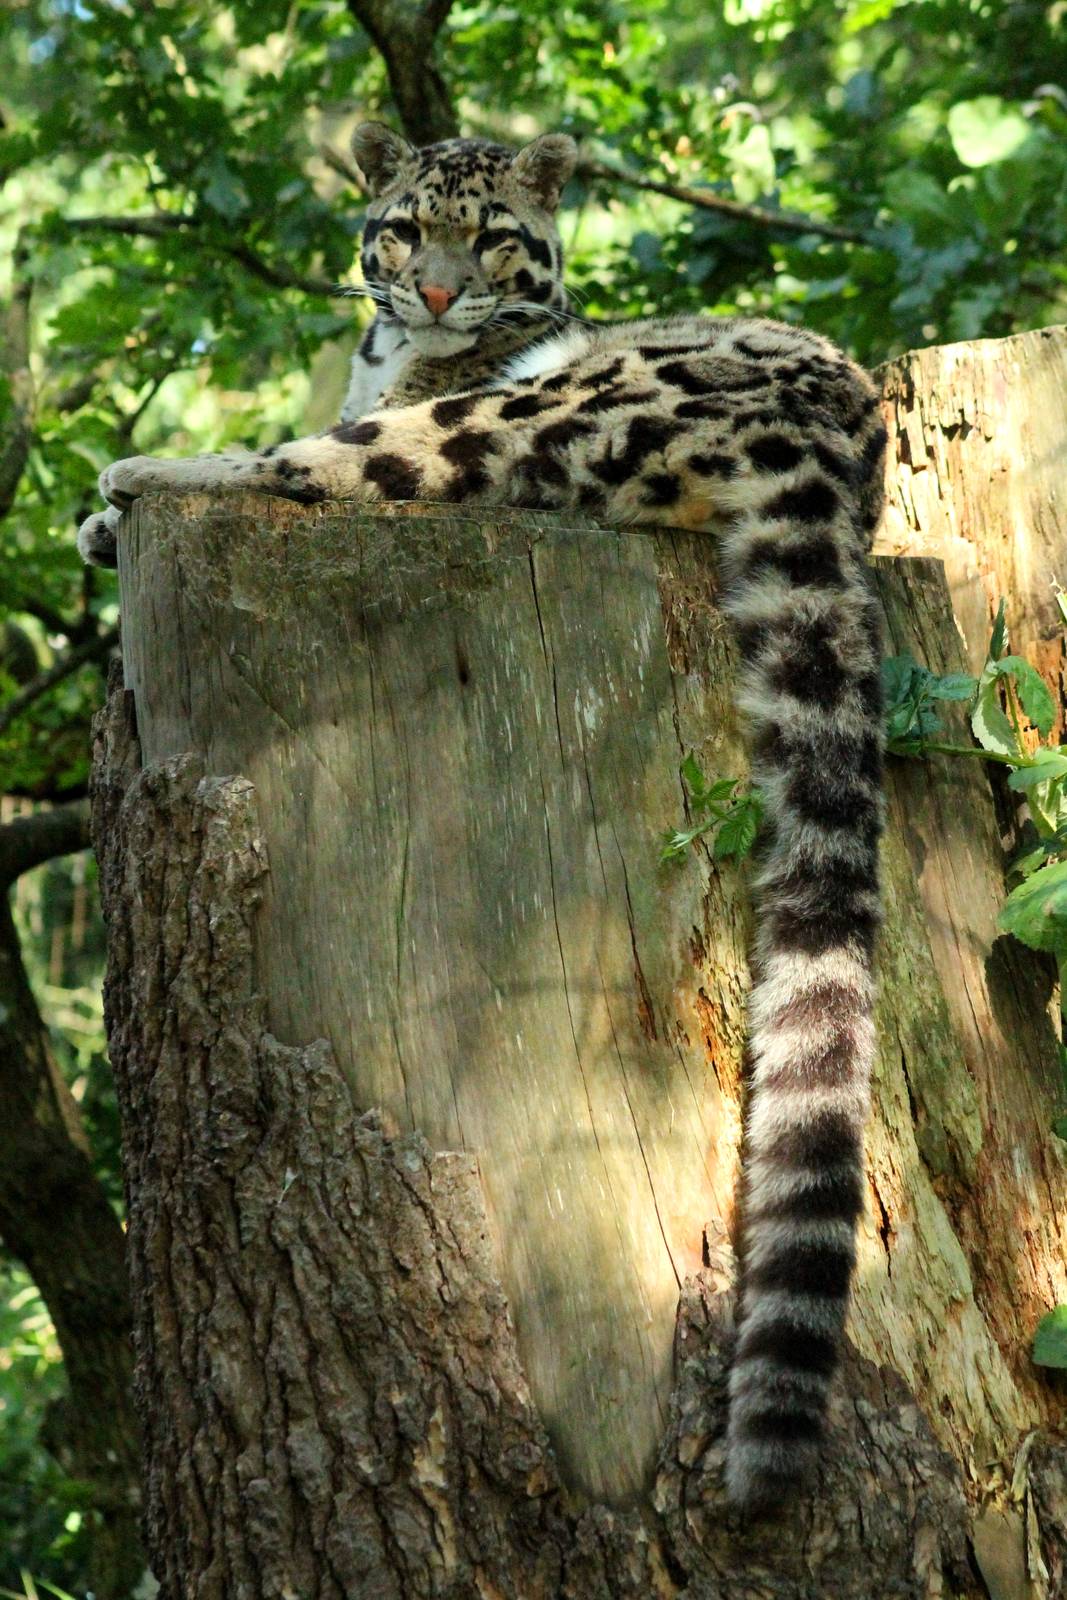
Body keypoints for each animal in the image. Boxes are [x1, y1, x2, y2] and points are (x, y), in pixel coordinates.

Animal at [78, 122, 887, 1515]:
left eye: (491, 234)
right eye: (404, 226)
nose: (439, 294)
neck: (383, 350)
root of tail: (832, 430)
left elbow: (333, 440)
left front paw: (112, 501)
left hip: (521, 413)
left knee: (328, 466)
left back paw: (143, 476)